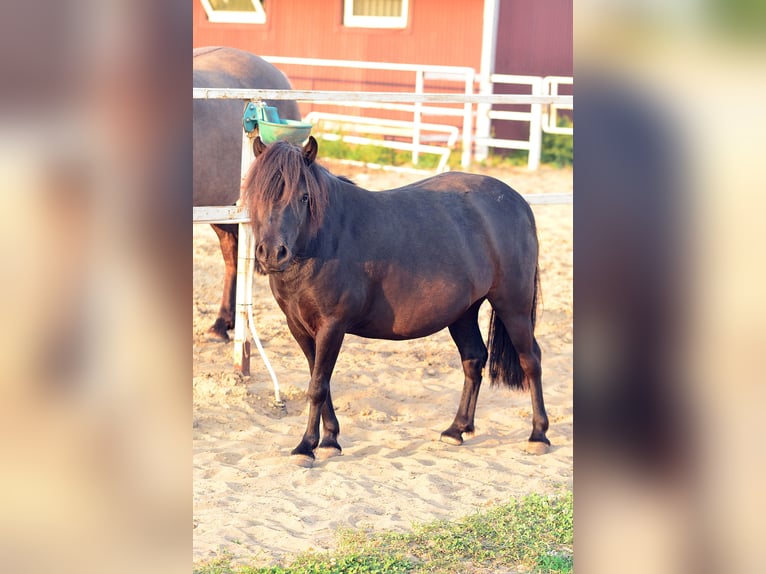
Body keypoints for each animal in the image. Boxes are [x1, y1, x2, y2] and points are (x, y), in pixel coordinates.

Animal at [243, 136, 548, 468]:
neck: (323, 239)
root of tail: (516, 202)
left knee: (531, 359)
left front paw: (306, 447)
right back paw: (457, 429)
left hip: (513, 306)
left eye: (304, 197)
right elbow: (320, 381)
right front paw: (330, 440)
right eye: (258, 194)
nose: (273, 253)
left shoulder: (332, 326)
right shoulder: (299, 327)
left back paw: (538, 435)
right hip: (463, 312)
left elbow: (317, 387)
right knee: (473, 359)